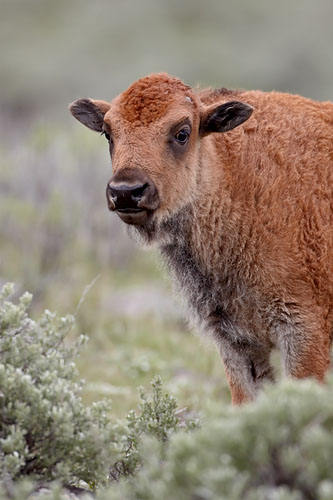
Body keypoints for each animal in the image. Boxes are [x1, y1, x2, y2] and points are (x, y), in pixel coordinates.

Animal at [68, 72, 330, 404]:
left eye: (182, 133)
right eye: (107, 133)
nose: (126, 191)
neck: (236, 179)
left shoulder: (305, 332)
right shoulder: (236, 341)